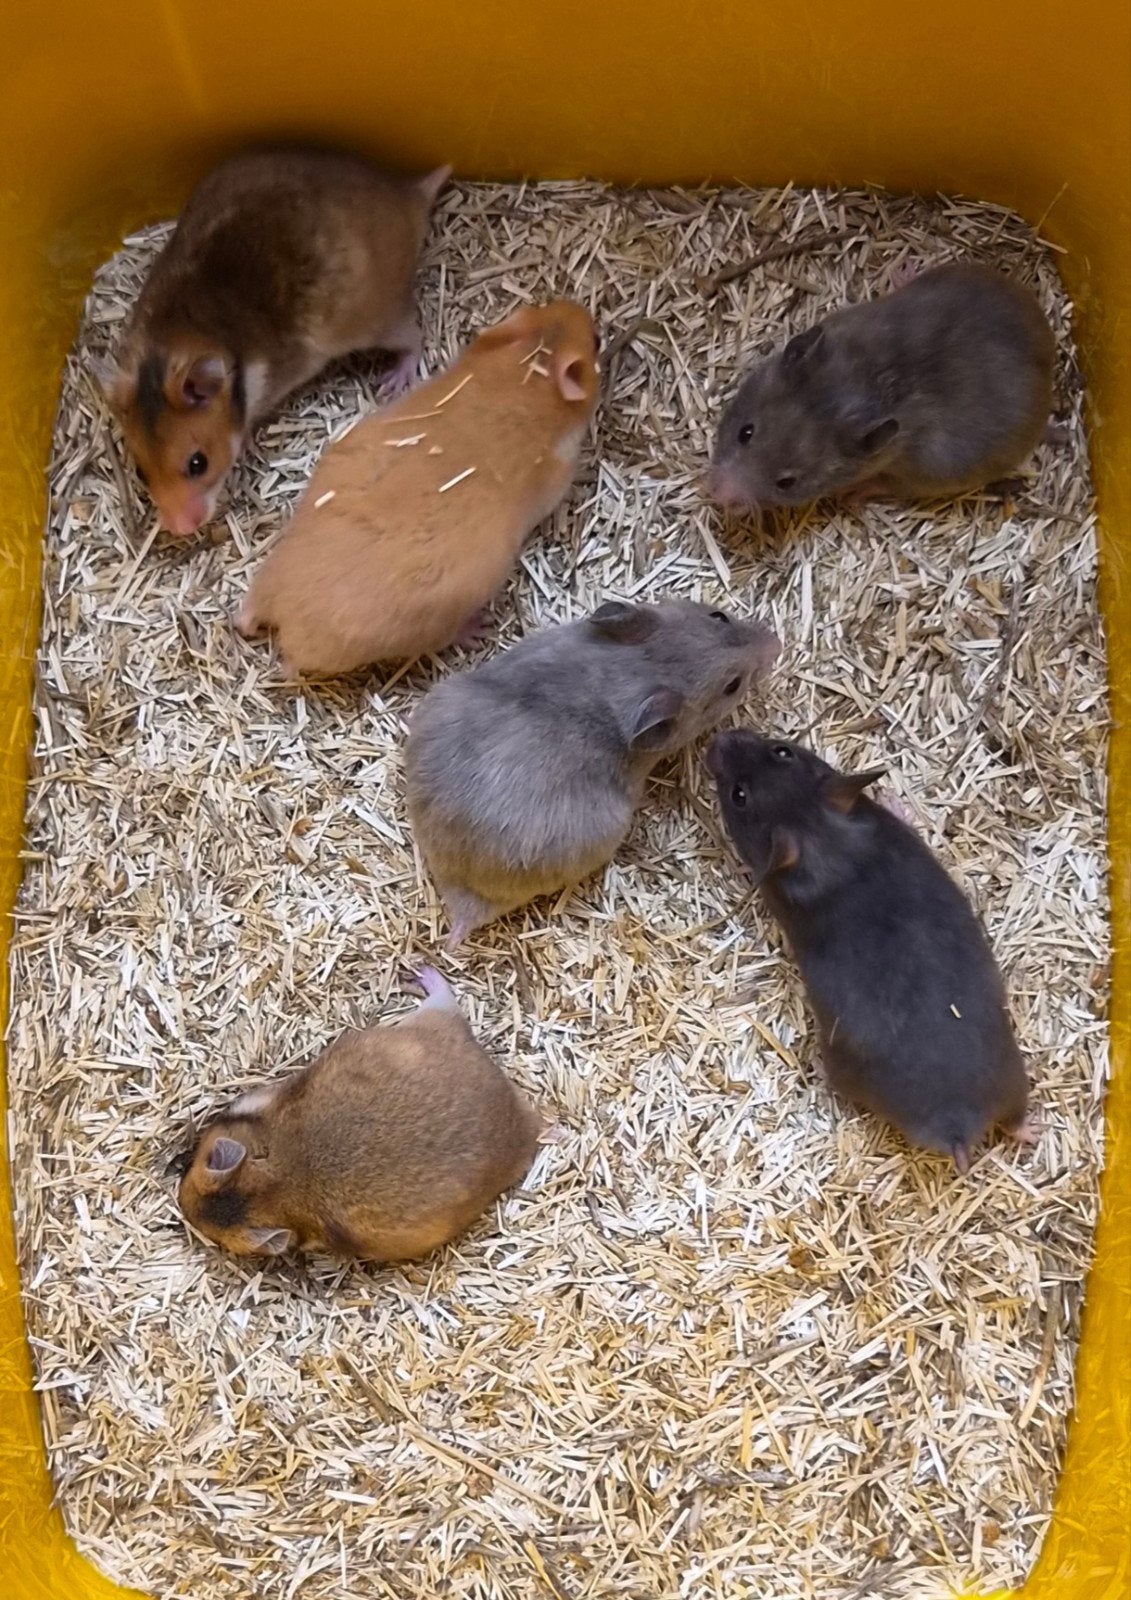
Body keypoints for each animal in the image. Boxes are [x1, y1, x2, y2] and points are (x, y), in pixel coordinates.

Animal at [96, 148, 449, 536]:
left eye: (198, 463)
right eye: (141, 472)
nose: (181, 530)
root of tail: (410, 197)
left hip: (376, 321)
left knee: (414, 335)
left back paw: (394, 383)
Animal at [708, 730, 1034, 1172]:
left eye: (738, 795)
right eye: (781, 750)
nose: (719, 737)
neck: (820, 838)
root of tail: (958, 1123)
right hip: (1013, 1076)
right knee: (1016, 1118)